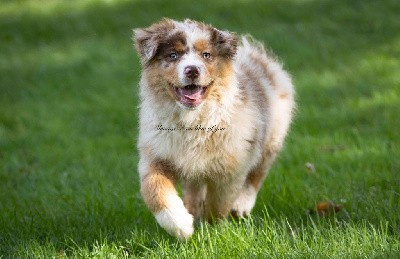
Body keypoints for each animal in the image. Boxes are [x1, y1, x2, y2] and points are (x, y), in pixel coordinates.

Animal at [134, 18, 294, 241]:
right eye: (173, 55)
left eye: (206, 55)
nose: (192, 70)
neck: (193, 121)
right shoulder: (155, 155)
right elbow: (155, 190)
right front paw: (181, 225)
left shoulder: (231, 166)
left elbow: (217, 204)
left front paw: (212, 232)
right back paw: (191, 209)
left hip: (272, 135)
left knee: (258, 171)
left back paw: (241, 205)